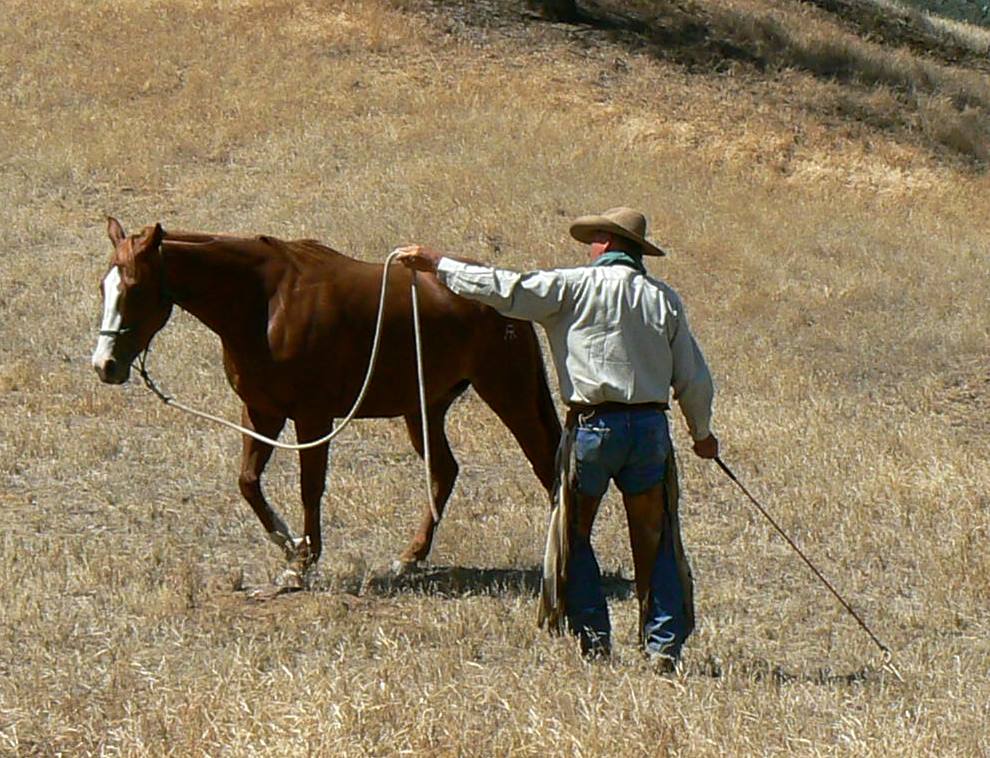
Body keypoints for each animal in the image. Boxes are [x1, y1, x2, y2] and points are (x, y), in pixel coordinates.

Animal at [93, 217, 564, 584]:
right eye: (104, 287)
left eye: (135, 288)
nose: (105, 364)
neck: (265, 304)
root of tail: (508, 292)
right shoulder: (262, 412)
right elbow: (248, 481)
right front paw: (288, 545)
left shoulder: (312, 418)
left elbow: (310, 487)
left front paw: (304, 561)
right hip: (425, 407)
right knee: (444, 472)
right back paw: (409, 558)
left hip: (507, 393)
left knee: (545, 463)